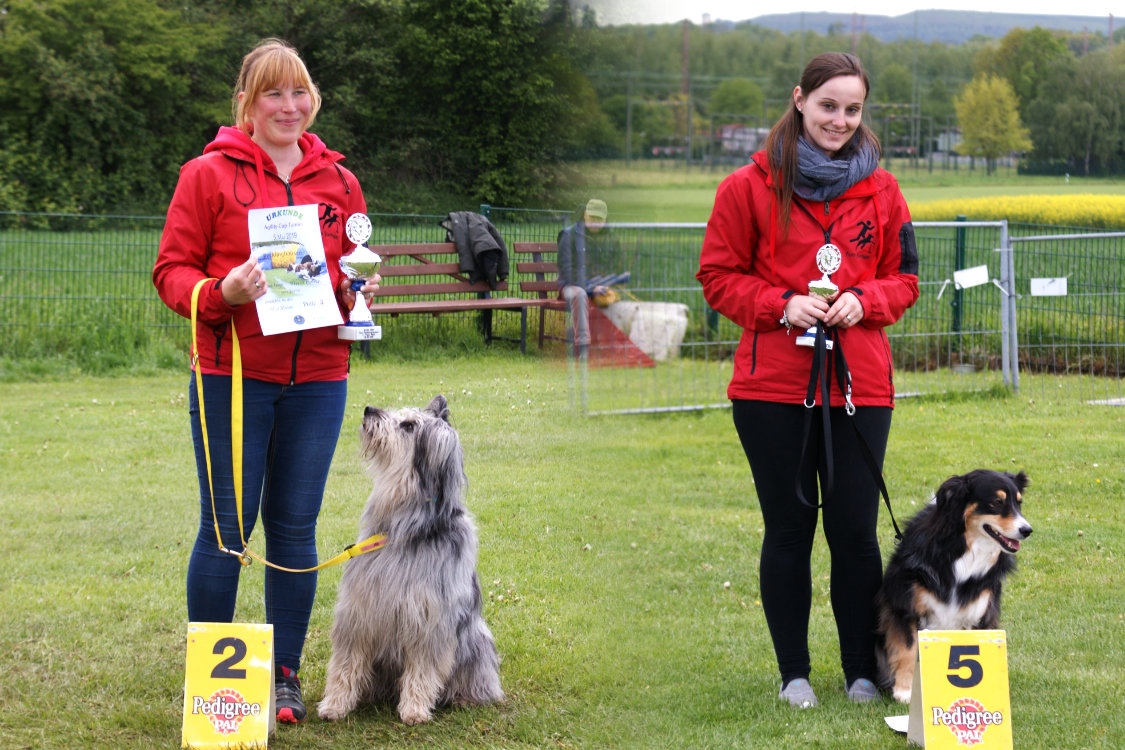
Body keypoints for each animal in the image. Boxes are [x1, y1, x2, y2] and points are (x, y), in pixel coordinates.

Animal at [321, 395, 506, 724]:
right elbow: (345, 663)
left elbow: (423, 669)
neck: (406, 530)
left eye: (408, 425)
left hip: (478, 640)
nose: (368, 409)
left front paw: (415, 709)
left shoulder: (430, 622)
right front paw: (335, 704)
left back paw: (464, 697)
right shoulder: (359, 612)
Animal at [873, 470, 1030, 706]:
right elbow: (907, 648)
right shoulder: (903, 606)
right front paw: (904, 691)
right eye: (997, 502)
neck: (963, 549)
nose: (1027, 530)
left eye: (1019, 503)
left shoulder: (980, 611)